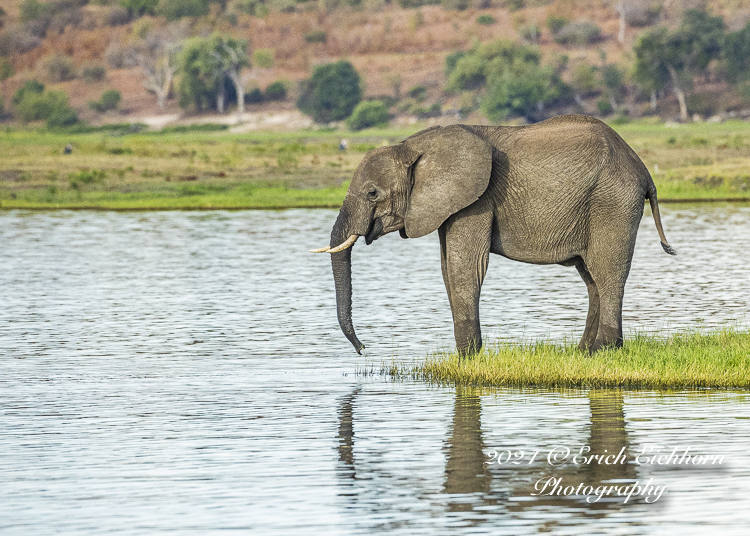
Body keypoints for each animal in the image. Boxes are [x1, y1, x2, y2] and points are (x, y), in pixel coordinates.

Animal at [312, 115, 676, 356]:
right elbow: (447, 268)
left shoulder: (477, 199)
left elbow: (465, 267)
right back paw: (584, 353)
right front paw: (465, 357)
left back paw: (605, 350)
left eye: (372, 193)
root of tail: (643, 169)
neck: (411, 146)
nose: (363, 349)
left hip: (612, 202)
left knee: (607, 272)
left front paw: (469, 359)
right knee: (592, 278)